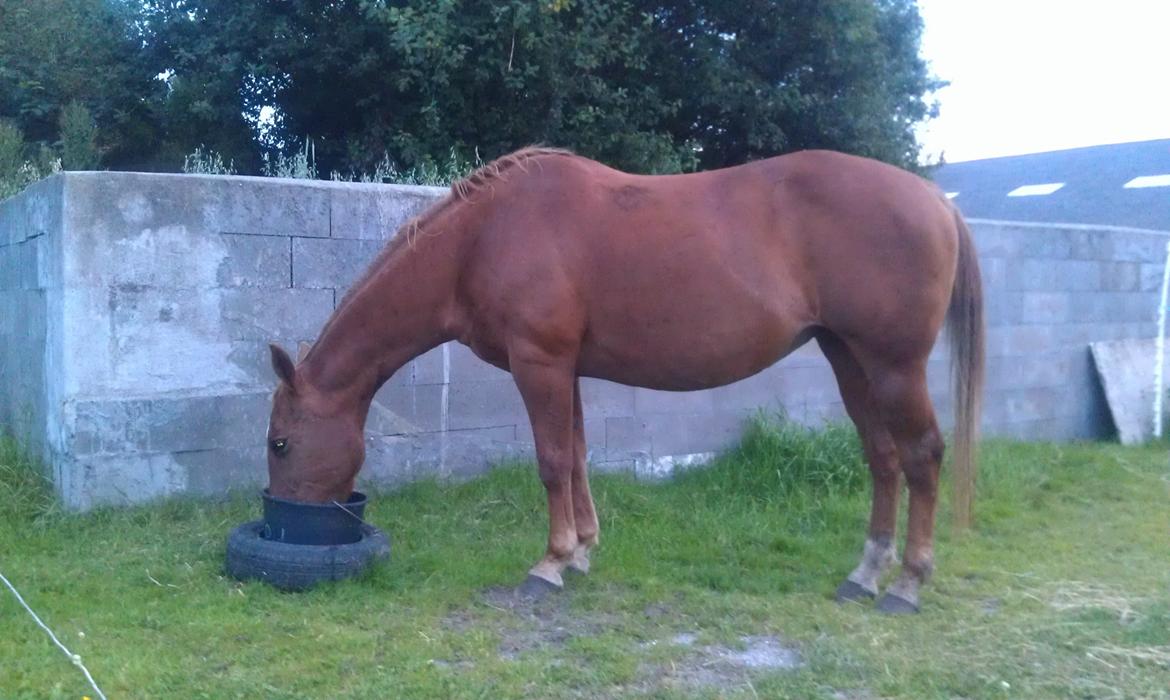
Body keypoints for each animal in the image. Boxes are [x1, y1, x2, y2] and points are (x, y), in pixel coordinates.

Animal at [265, 146, 984, 614]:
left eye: (280, 443)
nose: (282, 521)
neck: (485, 236)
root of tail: (935, 203)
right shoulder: (569, 368)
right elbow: (579, 456)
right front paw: (582, 551)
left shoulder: (540, 362)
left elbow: (553, 461)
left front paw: (550, 564)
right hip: (849, 358)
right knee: (883, 458)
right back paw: (864, 575)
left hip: (893, 365)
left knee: (922, 456)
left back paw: (907, 584)